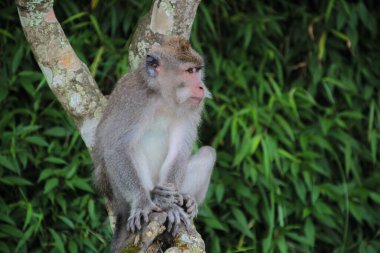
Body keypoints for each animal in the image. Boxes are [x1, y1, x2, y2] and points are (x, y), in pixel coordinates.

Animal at [92, 35, 215, 251]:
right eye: (189, 71)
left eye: (198, 70)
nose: (201, 86)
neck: (164, 98)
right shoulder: (134, 100)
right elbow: (117, 148)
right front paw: (144, 202)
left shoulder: (192, 108)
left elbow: (179, 152)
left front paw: (173, 206)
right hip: (117, 193)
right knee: (132, 149)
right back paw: (155, 196)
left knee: (208, 152)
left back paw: (186, 199)